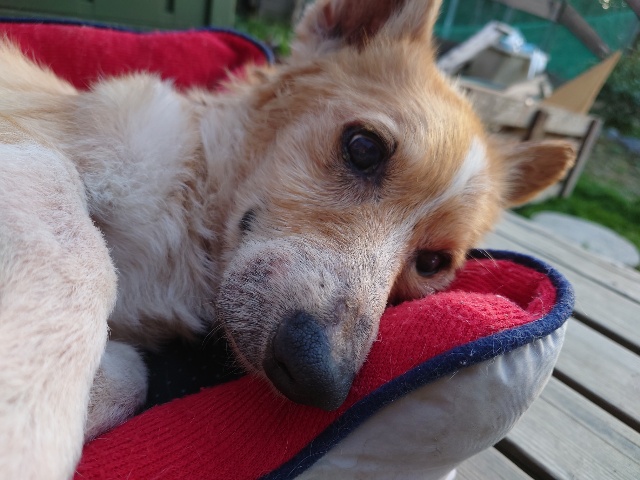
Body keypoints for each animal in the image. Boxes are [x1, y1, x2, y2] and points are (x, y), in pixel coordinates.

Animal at [0, 0, 575, 478]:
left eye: (432, 263)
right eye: (363, 147)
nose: (318, 378)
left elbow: (133, 375)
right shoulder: (36, 150)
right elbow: (75, 246)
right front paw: (27, 429)